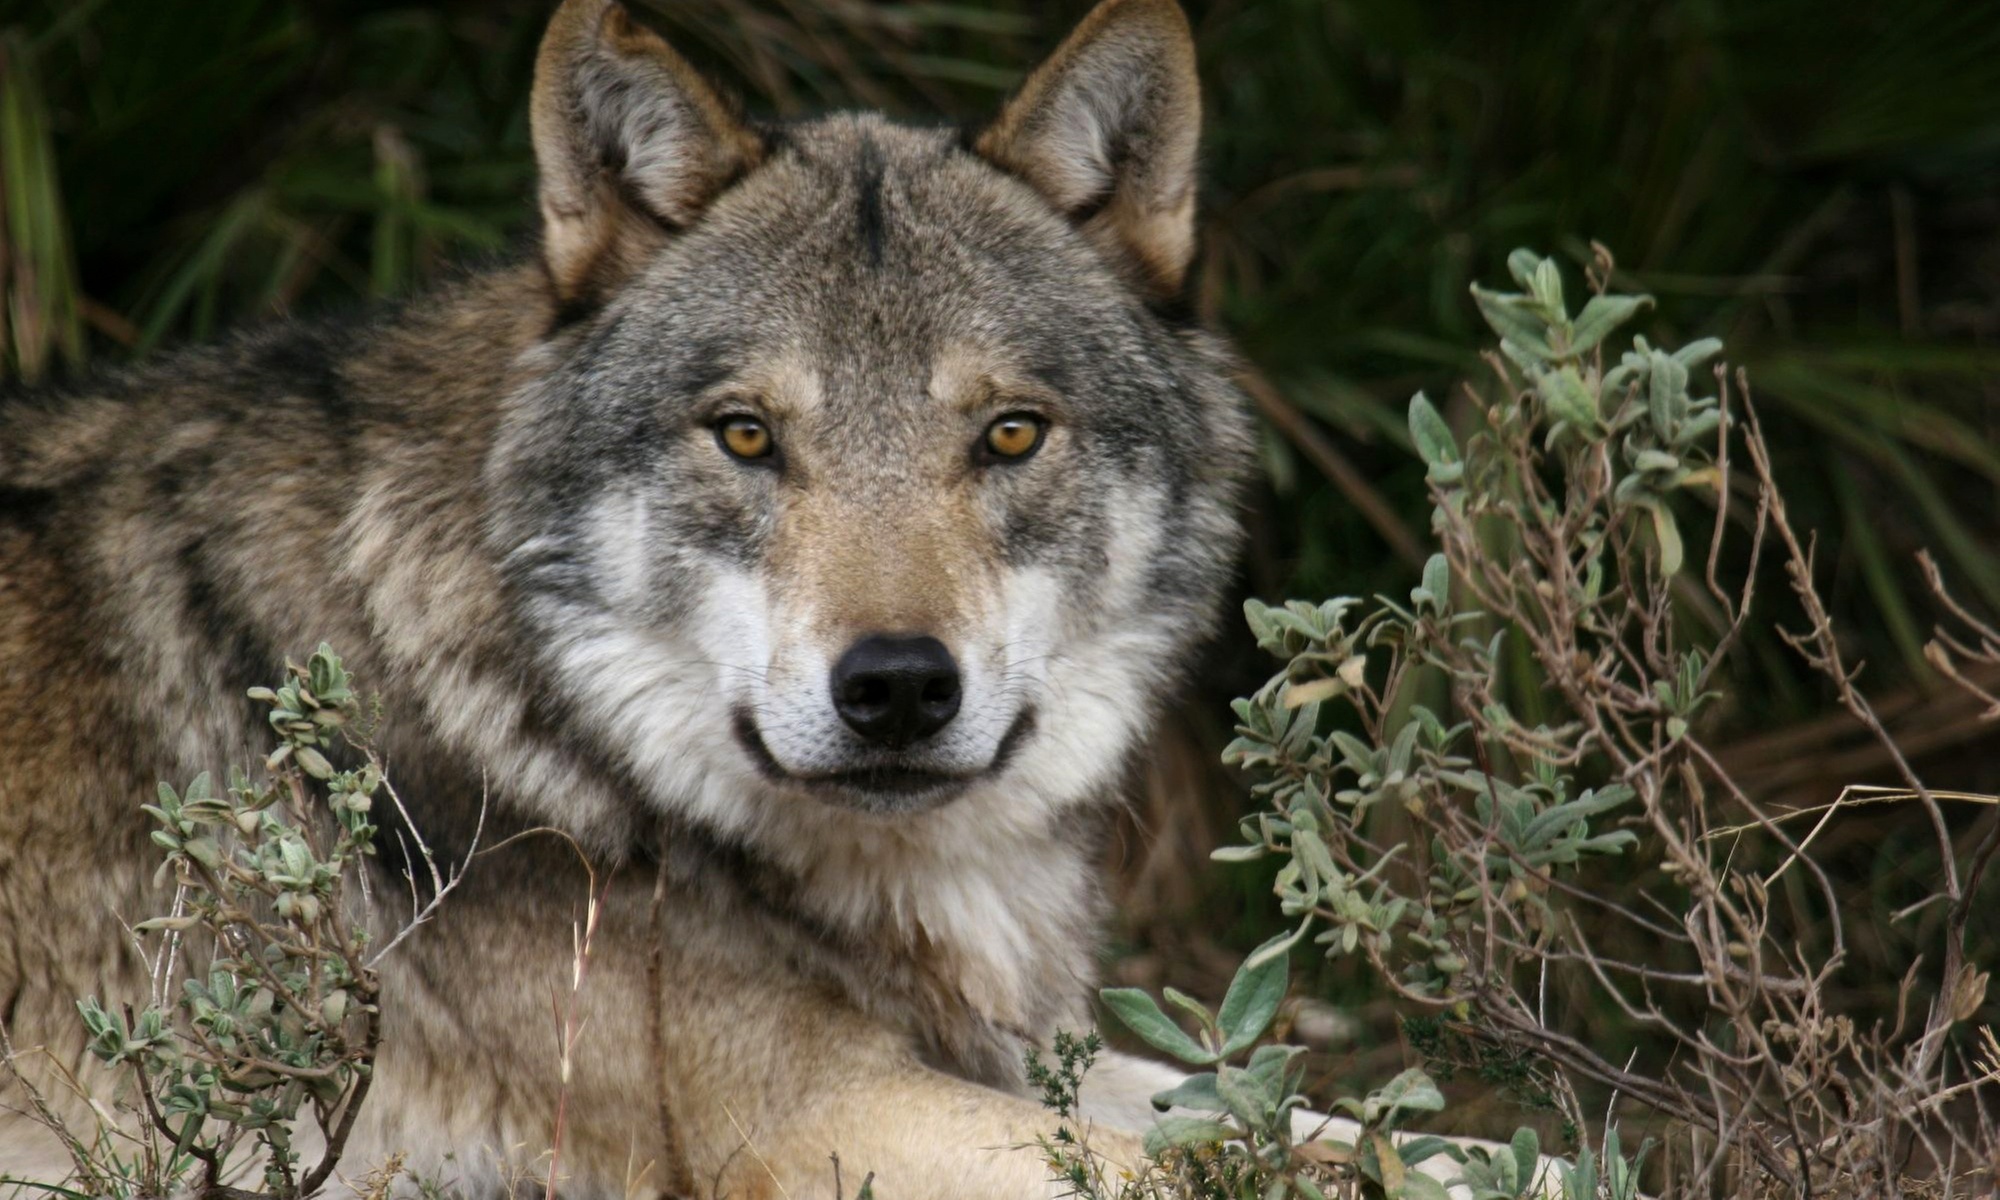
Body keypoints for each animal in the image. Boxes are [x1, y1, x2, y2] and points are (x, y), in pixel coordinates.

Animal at [0, 1, 1439, 1195]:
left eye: (1011, 435)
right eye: (746, 436)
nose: (898, 688)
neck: (564, 721)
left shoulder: (1013, 1052)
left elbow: (1340, 1128)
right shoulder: (815, 1115)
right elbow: (1263, 1168)